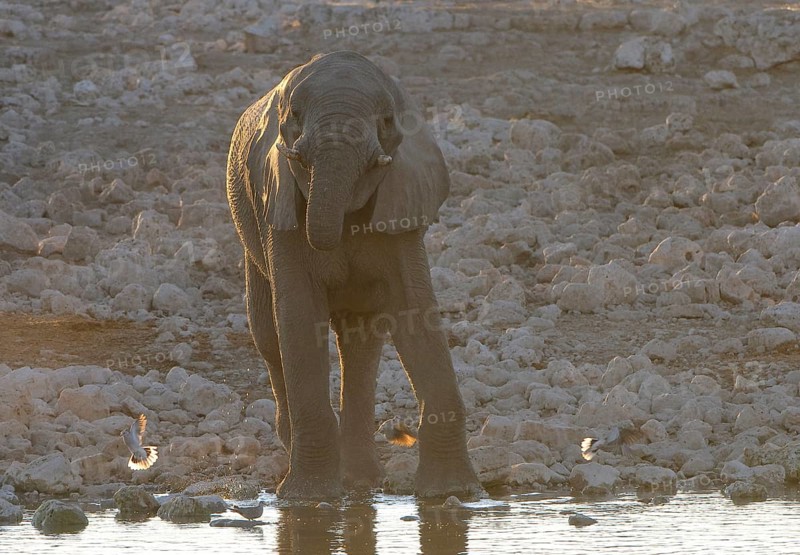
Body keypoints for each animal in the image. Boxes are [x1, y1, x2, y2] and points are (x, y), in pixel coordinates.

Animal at [226, 50, 482, 500]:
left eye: (386, 120)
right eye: (294, 115)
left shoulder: (402, 203)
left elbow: (414, 309)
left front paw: (454, 494)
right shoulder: (279, 209)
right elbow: (298, 315)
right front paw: (309, 499)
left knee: (362, 343)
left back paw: (361, 481)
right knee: (269, 337)